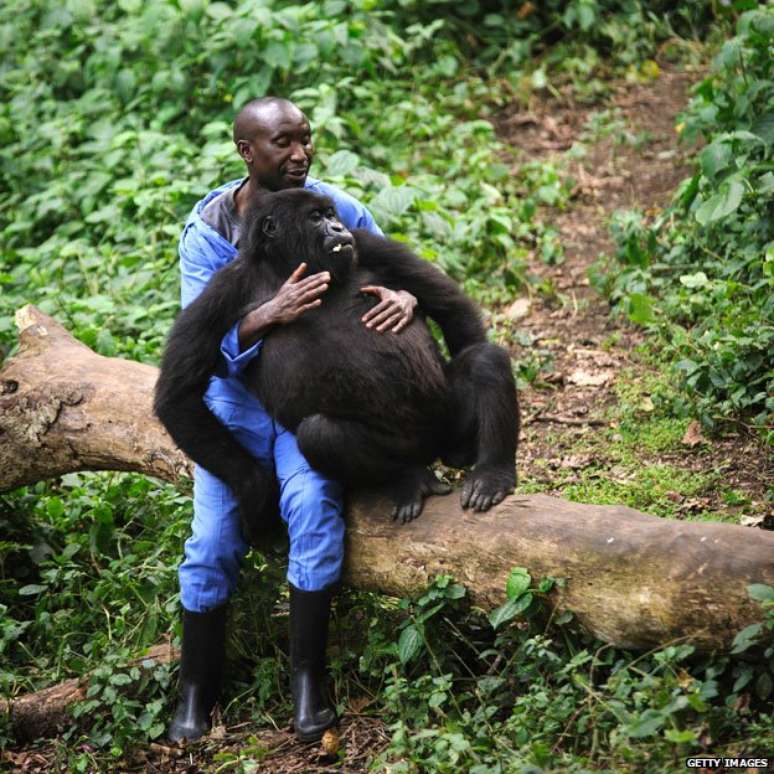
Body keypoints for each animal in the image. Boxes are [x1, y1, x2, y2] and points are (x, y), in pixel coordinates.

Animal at [155, 189, 520, 528]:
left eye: (331, 213)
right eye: (316, 217)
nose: (337, 226)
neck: (286, 265)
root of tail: (431, 449)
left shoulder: (370, 244)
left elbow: (449, 304)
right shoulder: (223, 290)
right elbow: (178, 394)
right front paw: (254, 488)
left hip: (446, 424)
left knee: (485, 360)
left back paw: (491, 472)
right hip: (410, 448)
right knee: (320, 435)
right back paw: (409, 477)